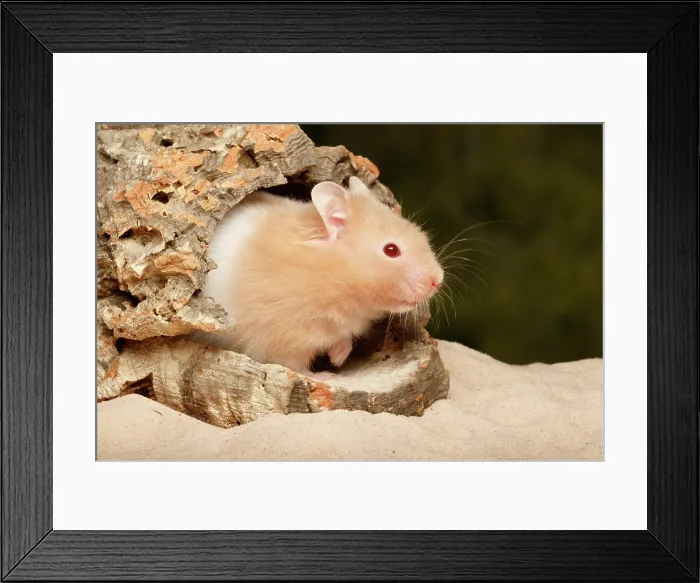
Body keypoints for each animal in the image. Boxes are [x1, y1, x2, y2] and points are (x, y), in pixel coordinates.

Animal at [194, 176, 444, 379]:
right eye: (391, 250)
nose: (438, 281)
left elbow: (344, 339)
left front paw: (337, 357)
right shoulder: (282, 335)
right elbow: (294, 365)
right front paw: (324, 376)